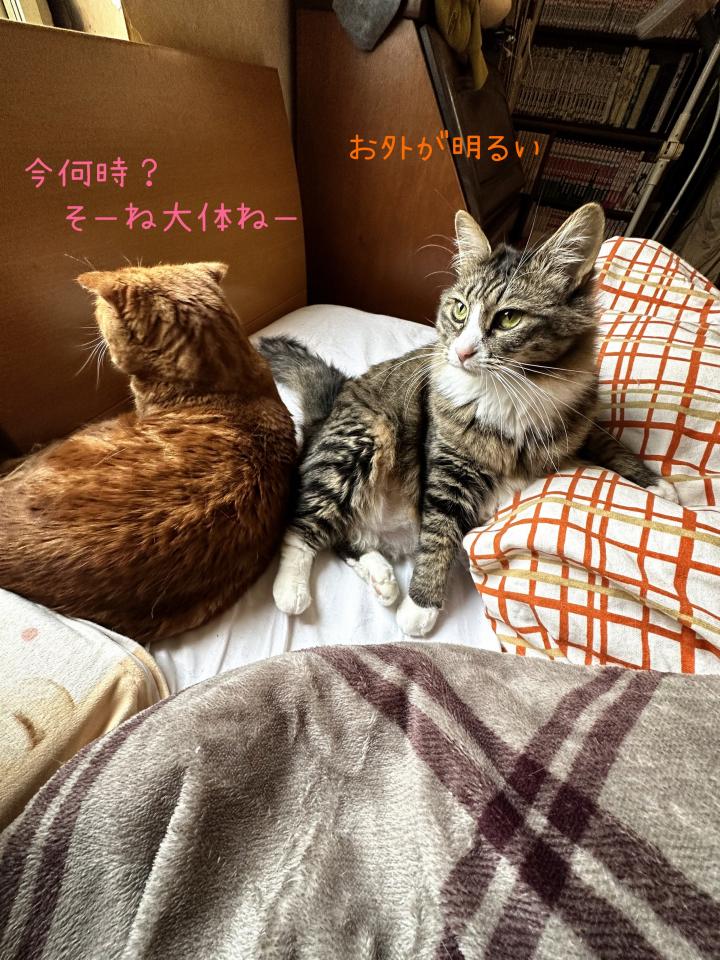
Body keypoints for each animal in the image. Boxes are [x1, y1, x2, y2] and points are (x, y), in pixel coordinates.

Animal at [259, 203, 677, 638]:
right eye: (459, 310)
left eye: (508, 318)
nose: (461, 352)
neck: (513, 391)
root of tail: (326, 410)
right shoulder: (449, 467)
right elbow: (439, 536)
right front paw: (420, 606)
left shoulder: (577, 414)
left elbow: (608, 441)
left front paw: (655, 483)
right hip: (363, 440)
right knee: (303, 524)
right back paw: (293, 590)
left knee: (343, 537)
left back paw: (382, 579)